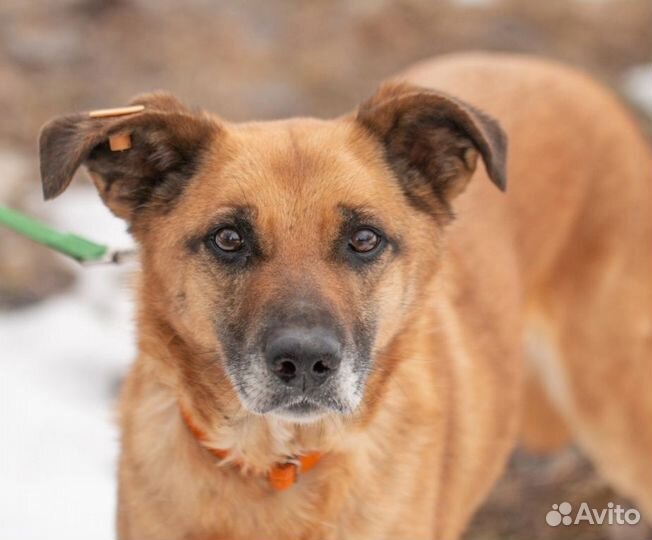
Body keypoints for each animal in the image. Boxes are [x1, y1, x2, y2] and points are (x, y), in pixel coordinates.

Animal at [38, 53, 648, 540]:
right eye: (229, 239)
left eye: (364, 239)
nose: (306, 363)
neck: (277, 463)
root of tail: (562, 73)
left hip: (616, 411)